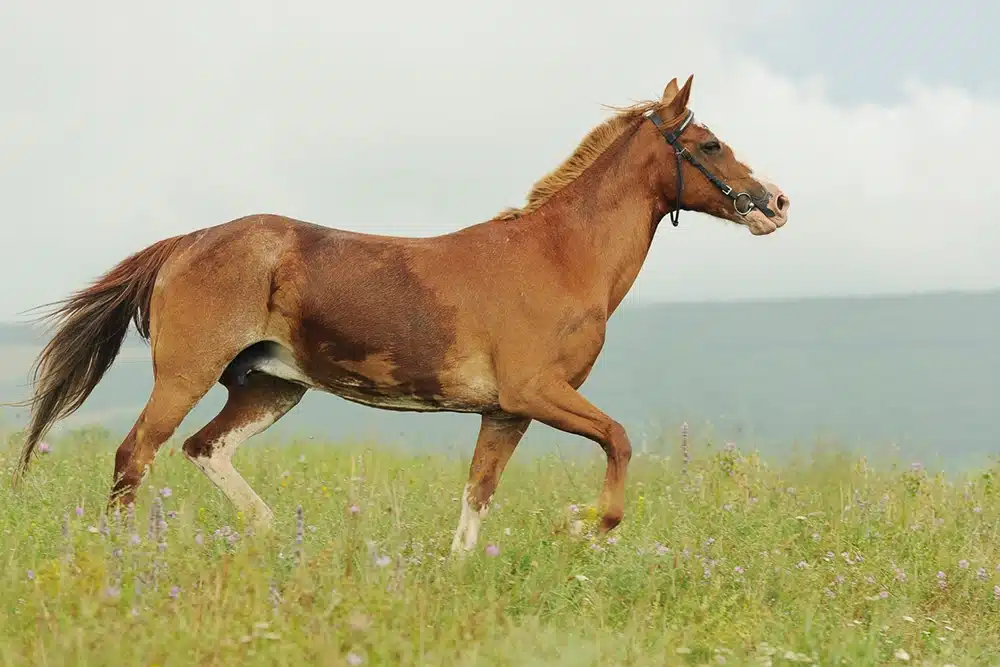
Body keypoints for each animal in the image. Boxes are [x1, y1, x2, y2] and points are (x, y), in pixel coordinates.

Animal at [7, 75, 788, 552]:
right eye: (709, 143)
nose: (776, 203)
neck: (559, 256)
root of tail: (186, 242)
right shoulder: (537, 392)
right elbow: (620, 442)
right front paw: (577, 527)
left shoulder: (505, 411)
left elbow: (477, 496)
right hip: (187, 374)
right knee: (135, 454)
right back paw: (128, 553)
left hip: (271, 387)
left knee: (205, 449)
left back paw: (274, 534)